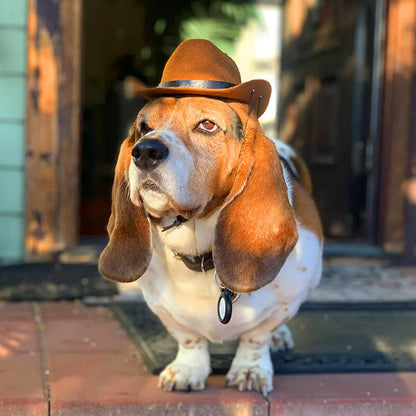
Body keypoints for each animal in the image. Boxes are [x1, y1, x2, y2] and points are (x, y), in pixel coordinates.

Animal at [100, 39, 322, 396]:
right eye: (143, 127)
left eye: (207, 125)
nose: (145, 151)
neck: (200, 252)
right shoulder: (160, 306)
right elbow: (188, 337)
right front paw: (188, 369)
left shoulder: (290, 297)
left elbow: (256, 336)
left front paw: (250, 370)